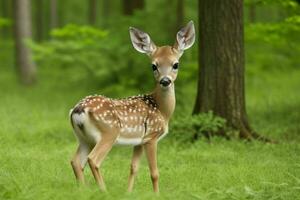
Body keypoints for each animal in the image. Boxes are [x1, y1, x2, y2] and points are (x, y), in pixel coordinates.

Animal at [69, 20, 196, 192]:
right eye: (154, 66)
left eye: (176, 64)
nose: (165, 81)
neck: (162, 110)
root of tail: (78, 110)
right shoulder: (151, 137)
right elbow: (154, 173)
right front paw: (156, 194)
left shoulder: (139, 141)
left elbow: (133, 167)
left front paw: (128, 192)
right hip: (108, 133)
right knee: (93, 160)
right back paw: (104, 191)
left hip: (83, 138)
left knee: (76, 161)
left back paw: (83, 190)